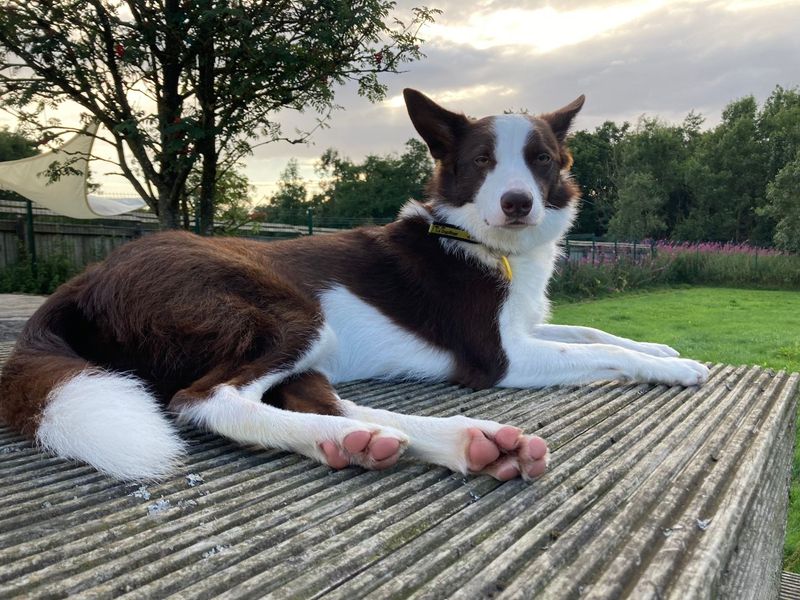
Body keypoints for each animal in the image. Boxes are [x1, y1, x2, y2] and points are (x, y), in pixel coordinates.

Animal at [0, 89, 708, 482]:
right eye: (483, 161)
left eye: (539, 160)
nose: (516, 203)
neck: (482, 242)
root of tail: (82, 282)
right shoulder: (500, 356)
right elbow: (598, 351)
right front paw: (679, 368)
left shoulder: (526, 327)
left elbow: (593, 330)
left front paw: (661, 350)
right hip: (287, 310)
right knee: (207, 401)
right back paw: (366, 442)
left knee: (316, 399)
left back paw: (449, 442)